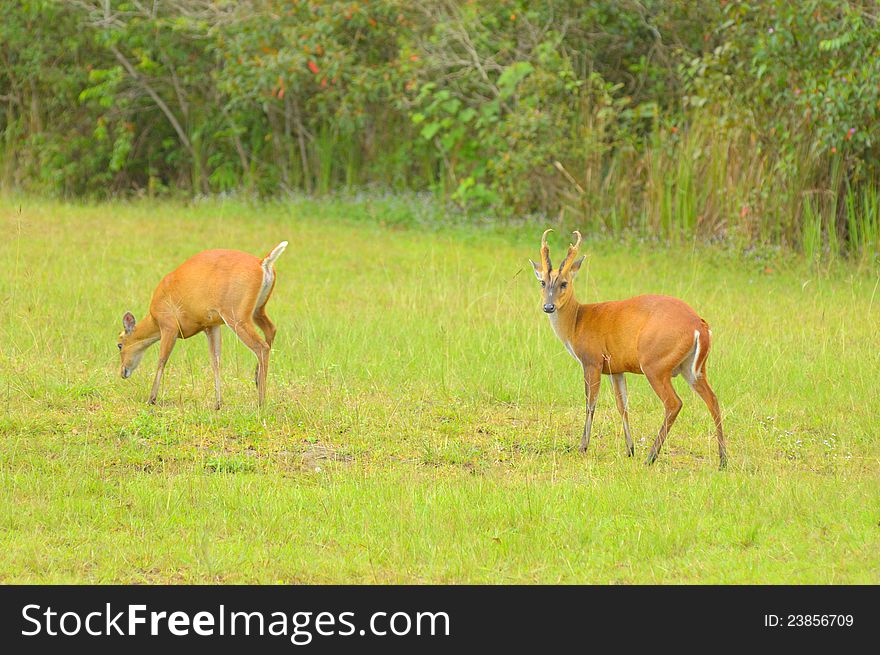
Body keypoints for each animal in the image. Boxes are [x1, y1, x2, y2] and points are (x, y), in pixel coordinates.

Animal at [116, 241, 288, 408]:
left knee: (261, 347)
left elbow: (162, 360)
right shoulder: (211, 325)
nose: (123, 372)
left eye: (119, 344)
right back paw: (257, 379)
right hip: (257, 310)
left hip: (236, 314)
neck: (154, 318)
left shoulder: (169, 325)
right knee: (271, 329)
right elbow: (215, 361)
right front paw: (218, 403)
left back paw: (261, 401)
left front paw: (151, 399)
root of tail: (263, 263)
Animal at [528, 229, 728, 466]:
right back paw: (723, 460)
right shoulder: (616, 368)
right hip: (693, 368)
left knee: (674, 403)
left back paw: (651, 457)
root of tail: (700, 325)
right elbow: (622, 405)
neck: (577, 321)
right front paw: (630, 449)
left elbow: (590, 403)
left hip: (655, 363)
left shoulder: (592, 361)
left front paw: (583, 447)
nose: (548, 306)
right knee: (713, 399)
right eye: (542, 282)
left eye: (564, 283)